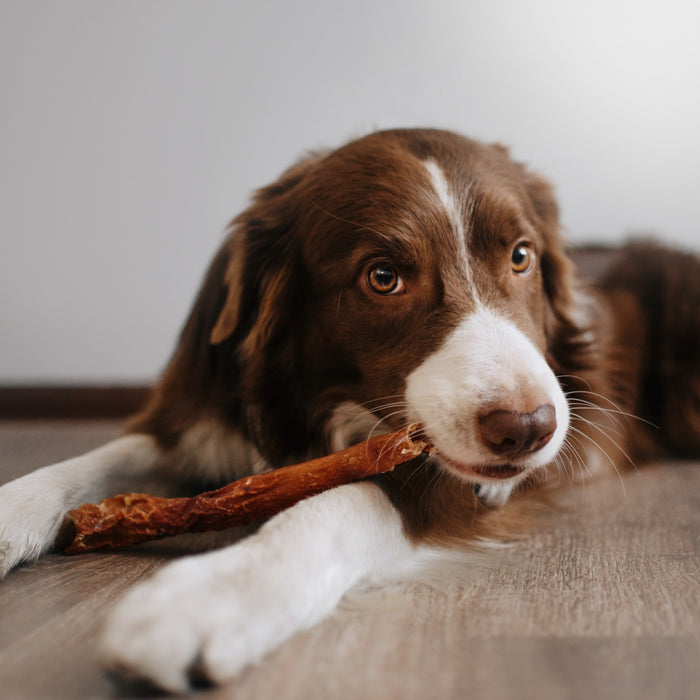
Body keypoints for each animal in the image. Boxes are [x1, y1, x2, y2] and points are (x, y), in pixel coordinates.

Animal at [1, 129, 700, 692]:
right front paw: (13, 510)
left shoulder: (456, 477)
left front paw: (205, 599)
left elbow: (342, 503)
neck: (321, 405)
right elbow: (94, 464)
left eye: (521, 256)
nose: (528, 430)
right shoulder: (200, 424)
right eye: (383, 277)